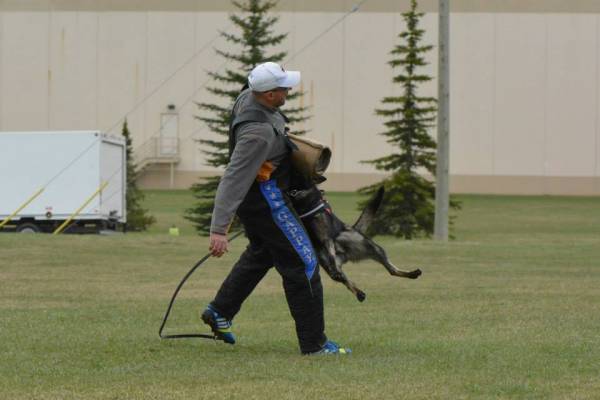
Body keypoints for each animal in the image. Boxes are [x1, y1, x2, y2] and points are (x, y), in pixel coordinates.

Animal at [288, 185, 422, 302]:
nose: (292, 193)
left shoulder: (327, 239)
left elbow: (329, 249)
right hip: (336, 261)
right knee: (344, 278)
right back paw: (359, 293)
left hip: (371, 247)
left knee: (391, 270)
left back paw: (412, 274)